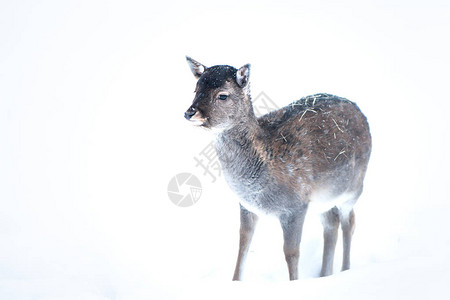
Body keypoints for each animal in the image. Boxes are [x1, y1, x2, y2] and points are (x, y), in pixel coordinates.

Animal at [185, 56, 370, 282]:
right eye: (196, 89)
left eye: (222, 95)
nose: (190, 112)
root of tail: (360, 111)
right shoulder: (246, 205)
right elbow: (243, 244)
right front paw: (235, 281)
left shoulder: (295, 205)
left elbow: (291, 252)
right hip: (324, 198)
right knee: (331, 222)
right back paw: (324, 274)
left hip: (354, 186)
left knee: (349, 221)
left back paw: (345, 270)